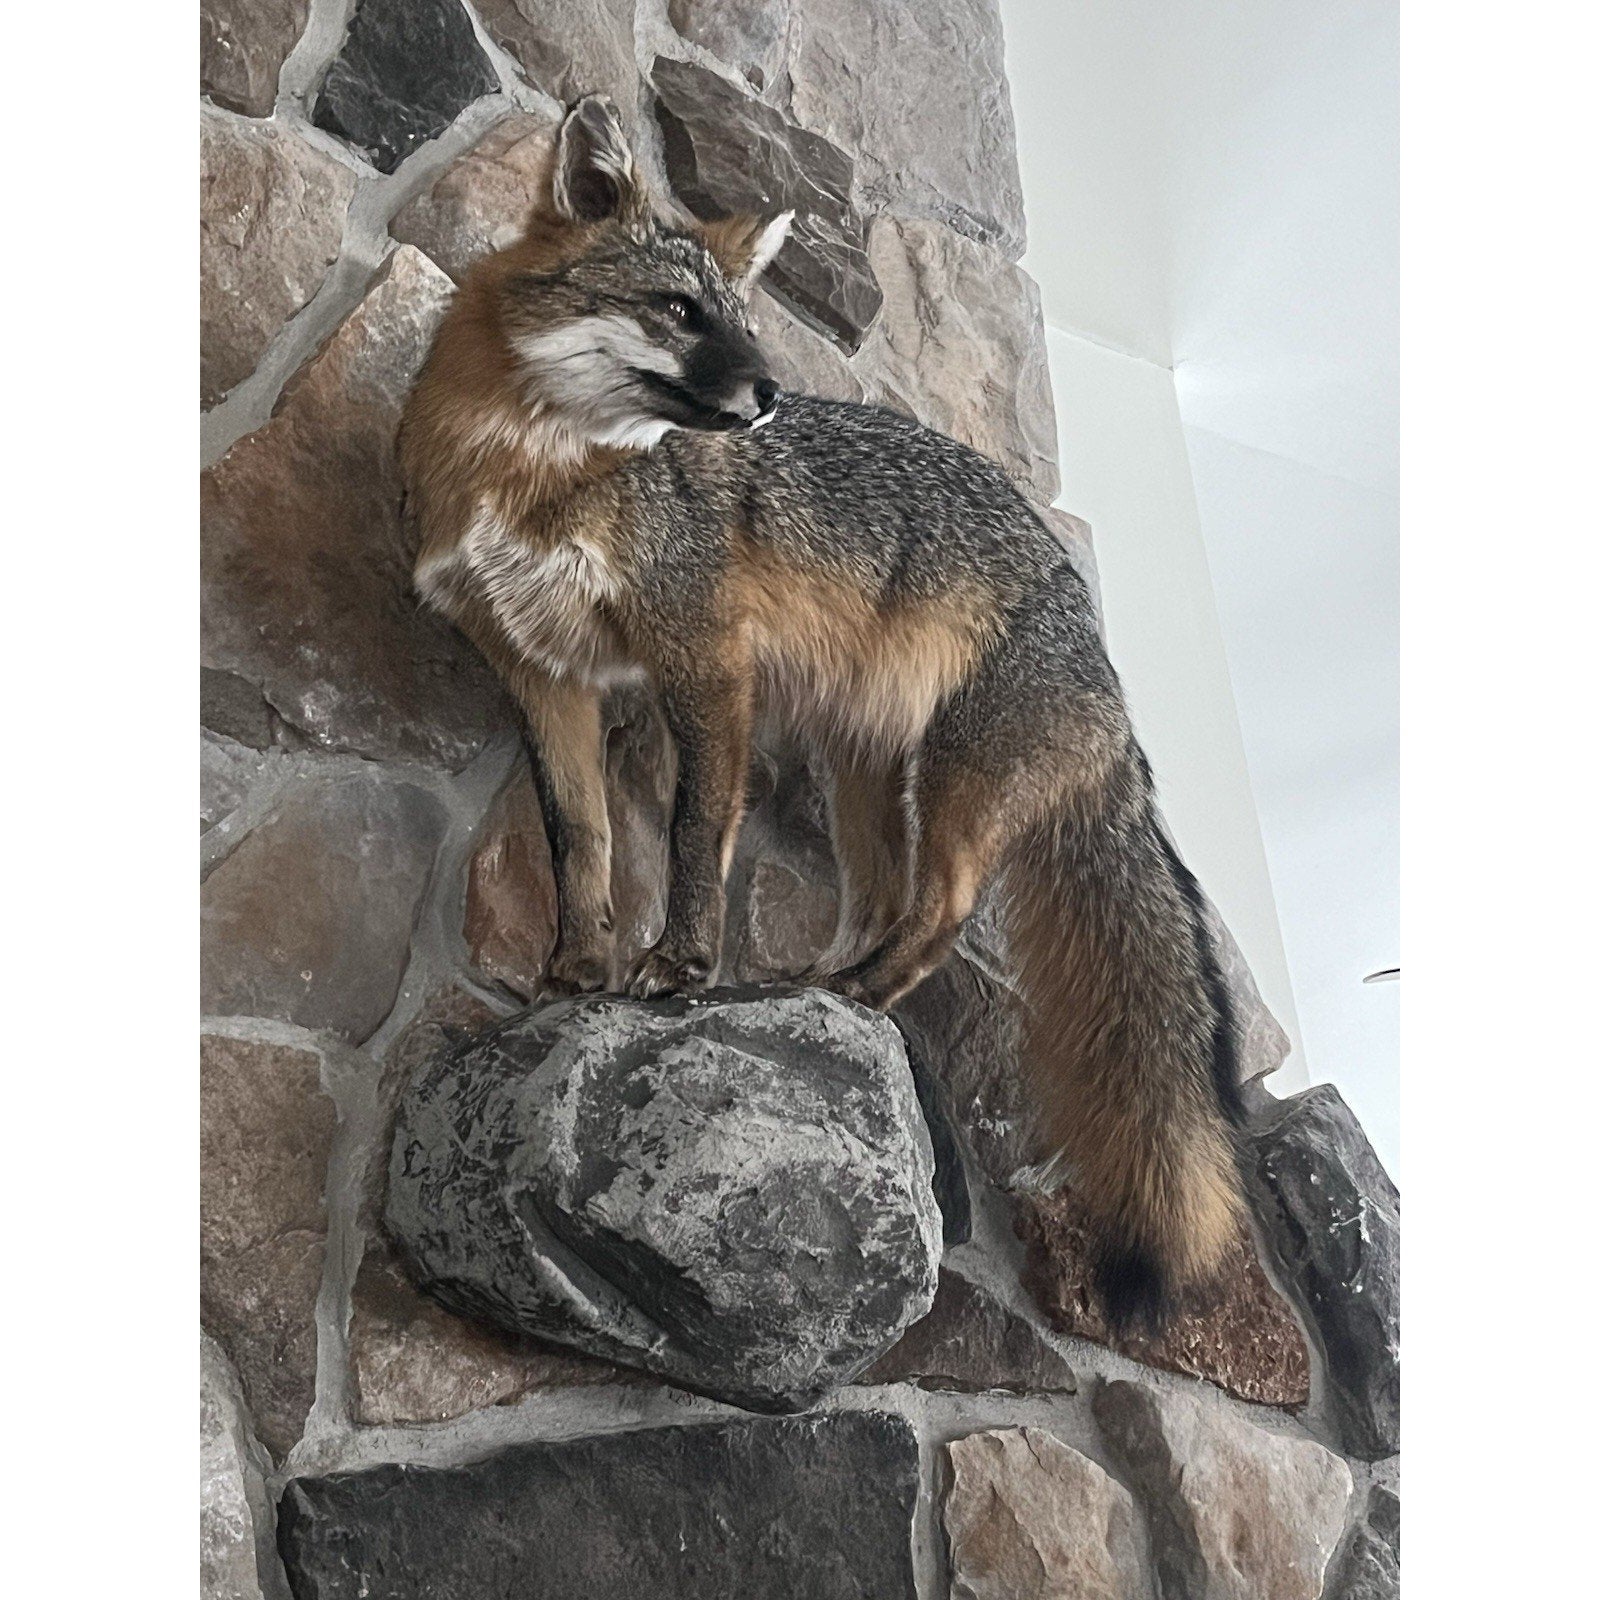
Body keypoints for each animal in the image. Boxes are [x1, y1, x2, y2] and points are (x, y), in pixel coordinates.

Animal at [398, 94, 1246, 1332]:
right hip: (860, 784)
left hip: (950, 783)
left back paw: (857, 991)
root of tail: (1107, 672)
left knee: (941, 909)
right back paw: (819, 985)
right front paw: (575, 967)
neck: (534, 470)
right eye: (679, 311)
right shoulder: (543, 676)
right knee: (887, 896)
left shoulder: (704, 663)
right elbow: (581, 839)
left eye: (744, 323)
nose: (768, 397)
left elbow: (692, 834)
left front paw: (679, 965)